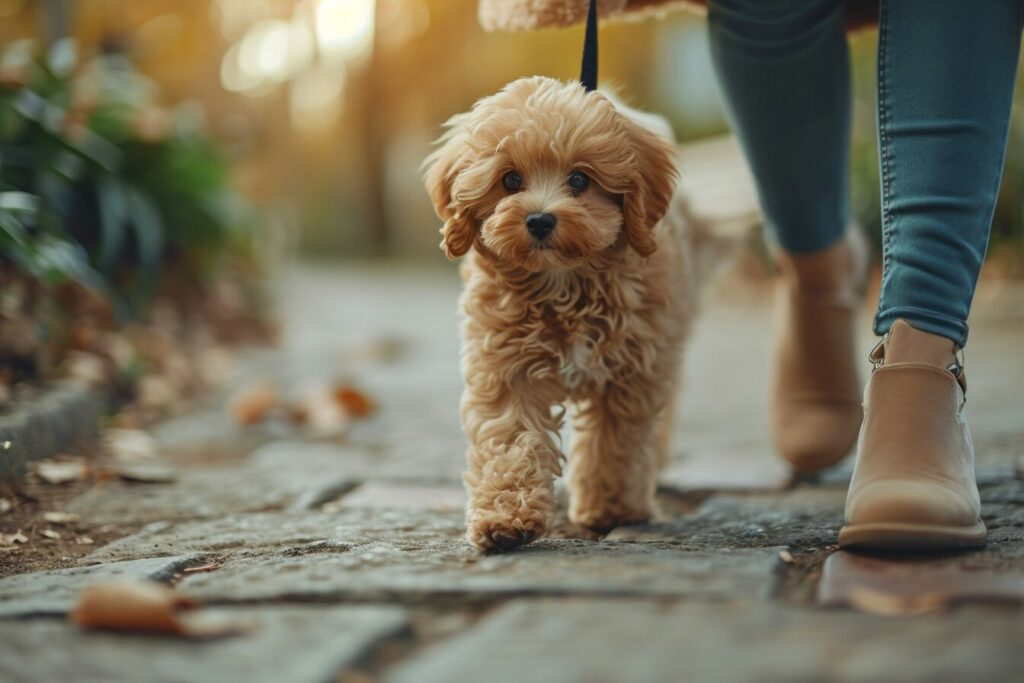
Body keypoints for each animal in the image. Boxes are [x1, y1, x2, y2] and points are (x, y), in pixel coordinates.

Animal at [423, 76, 704, 557]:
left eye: (579, 179)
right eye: (510, 179)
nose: (539, 219)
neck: (565, 283)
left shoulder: (632, 369)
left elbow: (616, 441)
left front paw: (611, 507)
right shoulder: (506, 365)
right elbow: (510, 436)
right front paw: (505, 518)